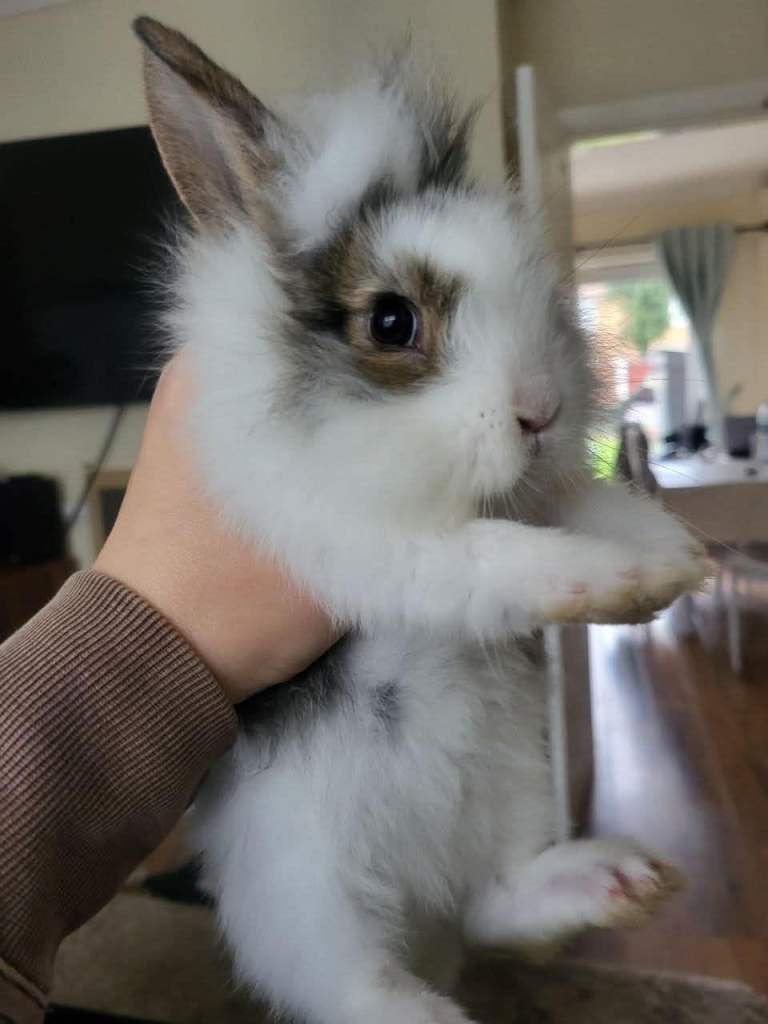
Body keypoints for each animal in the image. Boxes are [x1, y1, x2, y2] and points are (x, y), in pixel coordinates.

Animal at [133, 17, 707, 1024]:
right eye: (392, 322)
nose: (541, 410)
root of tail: (423, 895)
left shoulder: (533, 494)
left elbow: (583, 503)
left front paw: (673, 561)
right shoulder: (370, 546)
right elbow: (494, 556)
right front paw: (613, 579)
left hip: (517, 776)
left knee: (494, 905)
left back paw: (614, 882)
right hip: (300, 889)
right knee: (354, 981)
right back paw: (429, 1011)